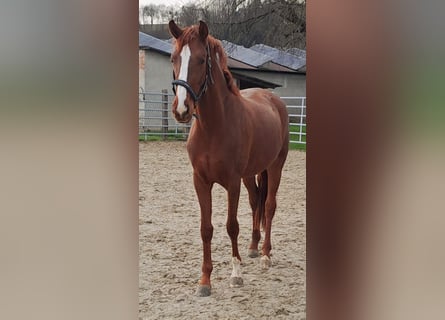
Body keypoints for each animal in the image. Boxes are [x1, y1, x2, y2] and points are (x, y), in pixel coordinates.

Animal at [168, 20, 290, 296]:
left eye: (201, 59)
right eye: (173, 58)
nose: (181, 109)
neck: (214, 127)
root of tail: (273, 98)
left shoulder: (232, 183)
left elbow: (231, 225)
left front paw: (236, 274)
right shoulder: (201, 182)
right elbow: (206, 229)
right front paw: (204, 281)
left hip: (275, 166)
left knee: (269, 206)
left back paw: (265, 255)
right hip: (252, 173)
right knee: (256, 202)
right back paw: (253, 248)